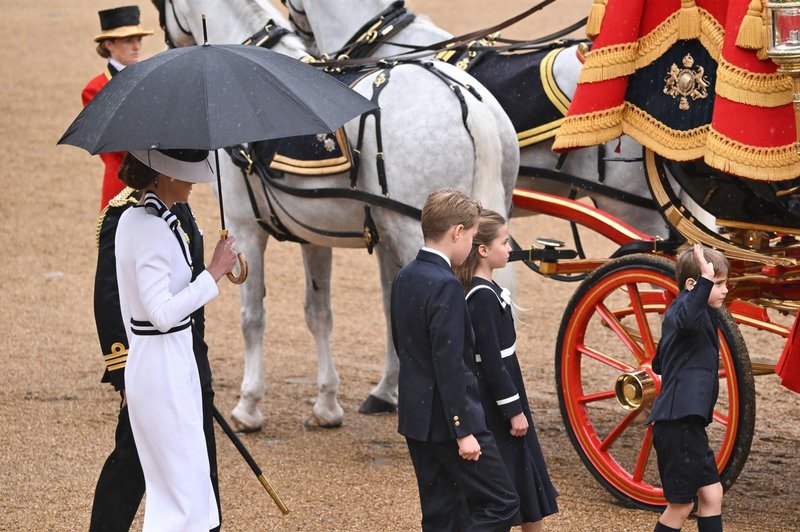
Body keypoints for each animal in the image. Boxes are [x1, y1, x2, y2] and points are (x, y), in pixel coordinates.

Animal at [158, 0, 520, 430]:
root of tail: (464, 98)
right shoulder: (313, 236)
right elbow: (319, 314)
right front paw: (327, 404)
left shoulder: (245, 231)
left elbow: (252, 317)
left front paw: (248, 406)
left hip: (416, 235)